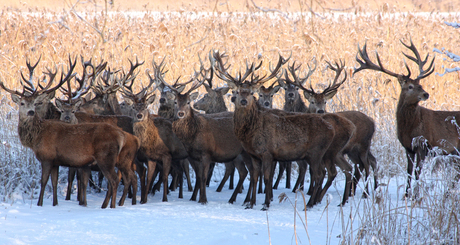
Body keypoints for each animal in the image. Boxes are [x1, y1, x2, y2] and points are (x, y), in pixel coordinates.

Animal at [1, 58, 138, 209]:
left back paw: (112, 206)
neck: (37, 136)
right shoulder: (55, 161)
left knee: (115, 180)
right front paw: (55, 203)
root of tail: (122, 135)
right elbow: (54, 182)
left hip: (106, 157)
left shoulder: (47, 157)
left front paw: (39, 204)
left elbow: (43, 181)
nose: (31, 112)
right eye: (22, 103)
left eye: (35, 103)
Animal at [354, 39, 454, 197]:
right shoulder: (408, 147)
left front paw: (416, 194)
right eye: (410, 86)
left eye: (420, 84)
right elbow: (409, 172)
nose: (426, 94)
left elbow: (417, 173)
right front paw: (406, 194)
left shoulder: (423, 144)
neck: (410, 128)